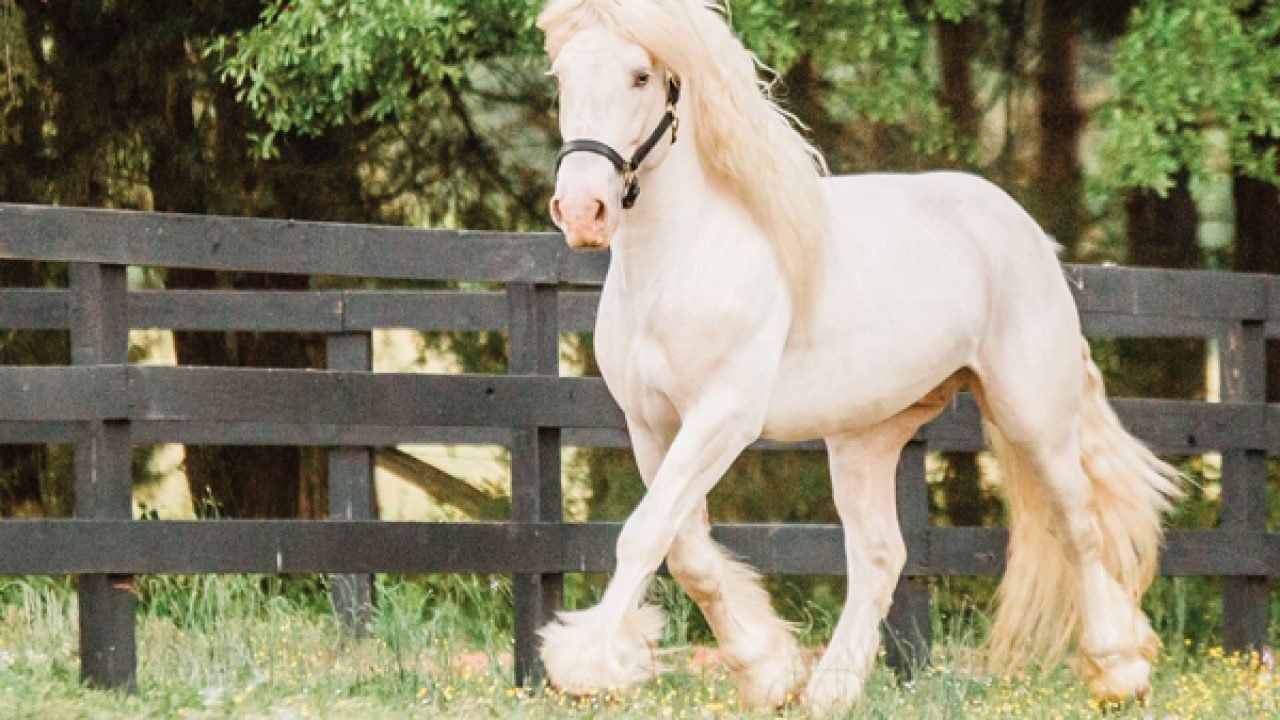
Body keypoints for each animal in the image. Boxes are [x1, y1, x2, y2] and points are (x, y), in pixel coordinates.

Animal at [529, 0, 1177, 707]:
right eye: (561, 77)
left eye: (641, 75)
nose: (582, 212)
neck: (683, 259)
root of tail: (1028, 230)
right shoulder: (652, 426)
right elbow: (687, 552)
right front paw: (768, 671)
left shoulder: (722, 418)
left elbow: (646, 535)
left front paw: (585, 664)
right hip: (866, 437)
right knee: (880, 555)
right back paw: (829, 691)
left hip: (1032, 415)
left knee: (1078, 524)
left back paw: (1118, 669)